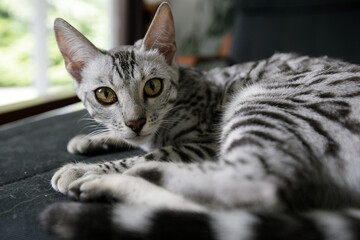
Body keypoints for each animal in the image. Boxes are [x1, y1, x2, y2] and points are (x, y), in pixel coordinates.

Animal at [40, 2, 360, 240]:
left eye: (153, 87)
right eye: (105, 94)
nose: (136, 122)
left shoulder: (203, 142)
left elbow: (157, 152)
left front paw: (84, 169)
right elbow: (131, 140)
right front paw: (91, 139)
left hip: (261, 101)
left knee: (261, 187)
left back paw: (115, 180)